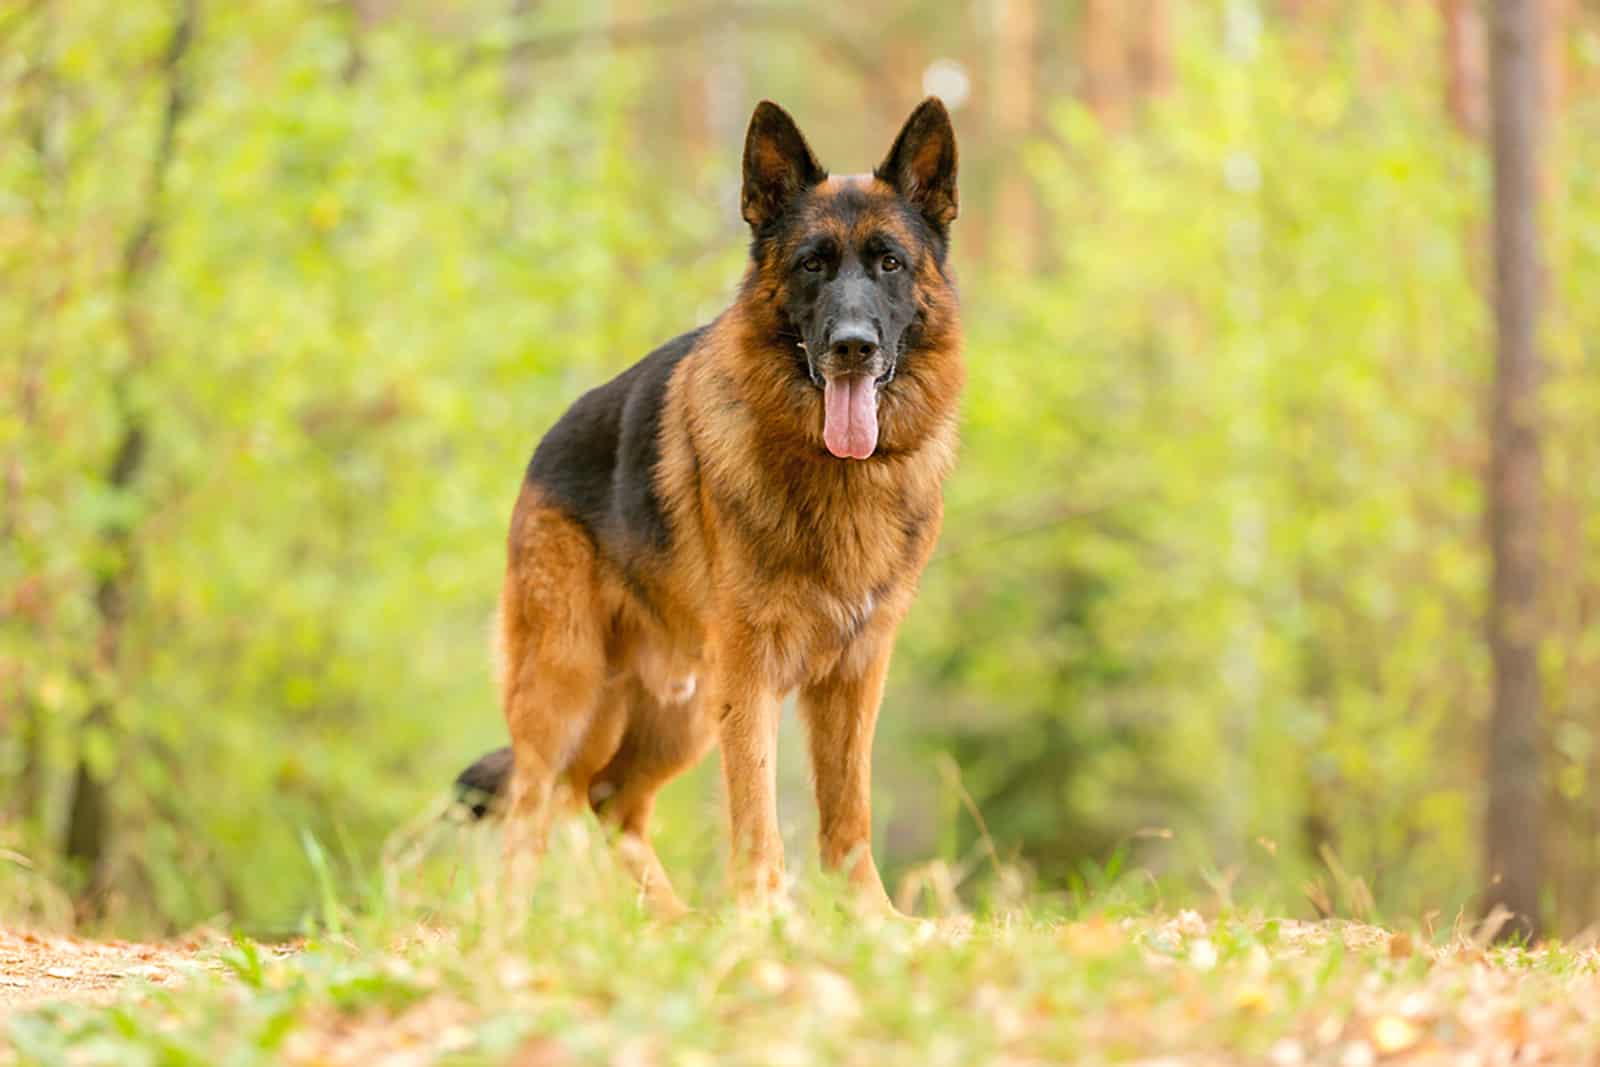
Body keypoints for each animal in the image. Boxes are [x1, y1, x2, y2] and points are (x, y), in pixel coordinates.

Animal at [454, 102, 960, 921]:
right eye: (812, 264)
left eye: (890, 263)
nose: (852, 347)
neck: (837, 477)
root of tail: (544, 447)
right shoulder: (750, 674)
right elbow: (756, 808)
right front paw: (760, 918)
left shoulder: (855, 672)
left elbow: (847, 810)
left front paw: (871, 919)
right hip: (567, 685)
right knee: (534, 808)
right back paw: (519, 923)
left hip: (682, 712)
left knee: (609, 800)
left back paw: (671, 922)